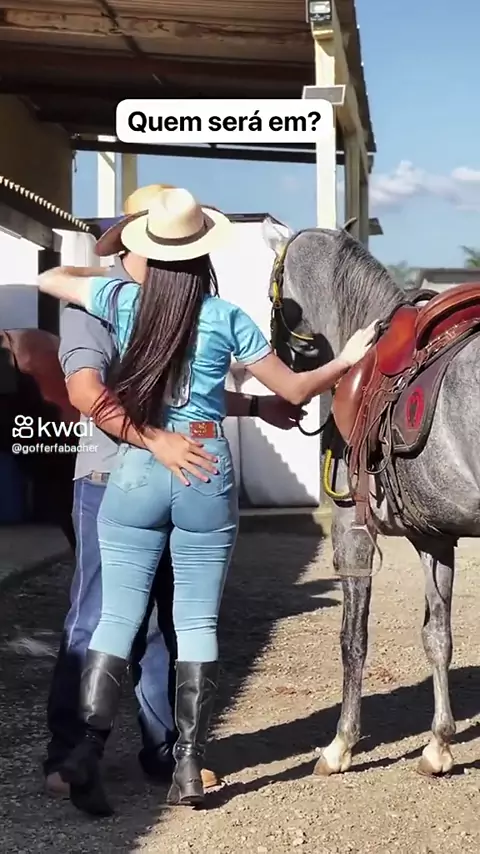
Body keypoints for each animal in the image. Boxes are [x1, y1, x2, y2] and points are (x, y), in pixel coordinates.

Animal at [262, 217, 480, 779]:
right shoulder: (435, 539)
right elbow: (437, 637)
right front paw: (438, 745)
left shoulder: (352, 535)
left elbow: (352, 641)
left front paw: (339, 746)